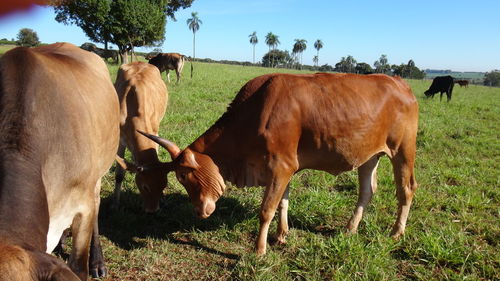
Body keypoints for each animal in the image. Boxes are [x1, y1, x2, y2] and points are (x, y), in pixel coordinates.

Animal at [112, 60, 169, 211]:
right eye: (145, 187)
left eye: (164, 185)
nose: (152, 211)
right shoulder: (120, 140)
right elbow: (119, 174)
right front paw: (115, 204)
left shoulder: (154, 133)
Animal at [139, 72, 420, 254]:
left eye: (184, 176)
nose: (200, 211)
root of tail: (400, 83)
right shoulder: (285, 169)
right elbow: (283, 203)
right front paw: (281, 235)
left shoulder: (280, 167)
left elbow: (266, 210)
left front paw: (259, 249)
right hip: (369, 156)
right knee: (366, 191)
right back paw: (351, 229)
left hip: (403, 150)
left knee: (406, 189)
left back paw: (396, 232)